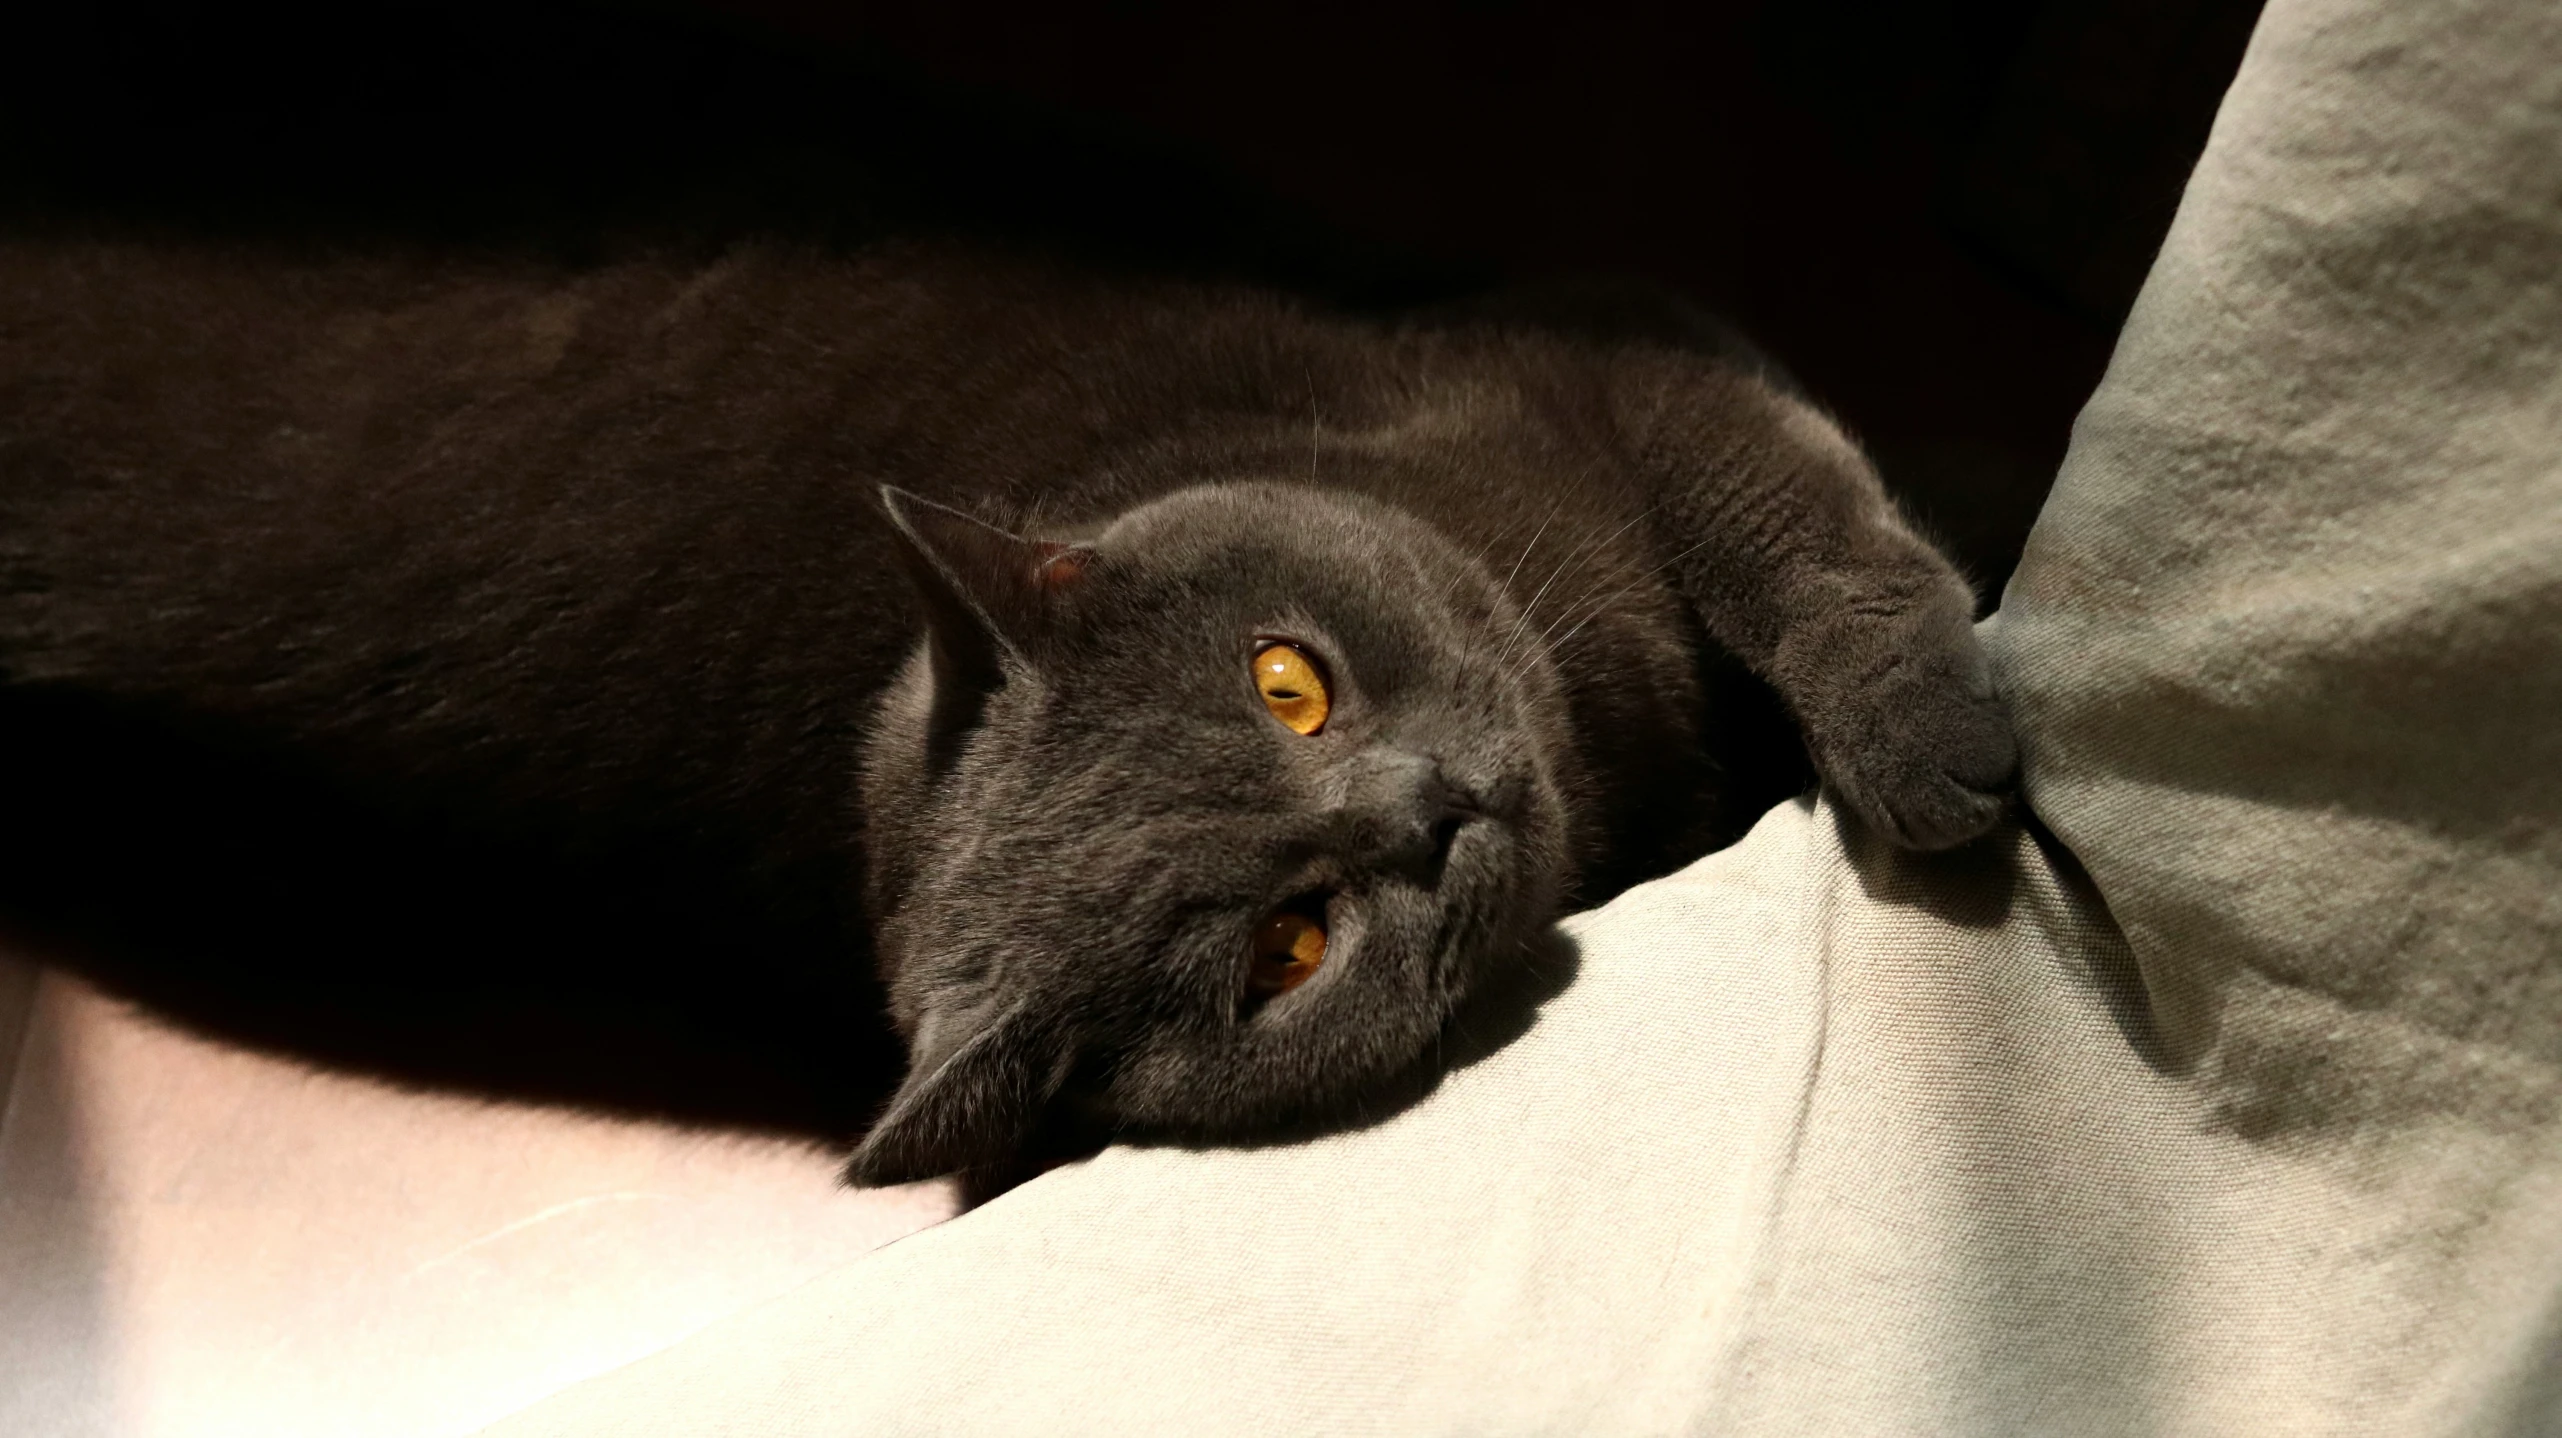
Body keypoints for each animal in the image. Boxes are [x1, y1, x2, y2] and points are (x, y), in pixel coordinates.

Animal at [0, 238, 2008, 1179]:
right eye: (1286, 947)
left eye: (1287, 681)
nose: (1428, 807)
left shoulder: (1575, 348)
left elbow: (1778, 514)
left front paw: (1934, 731)